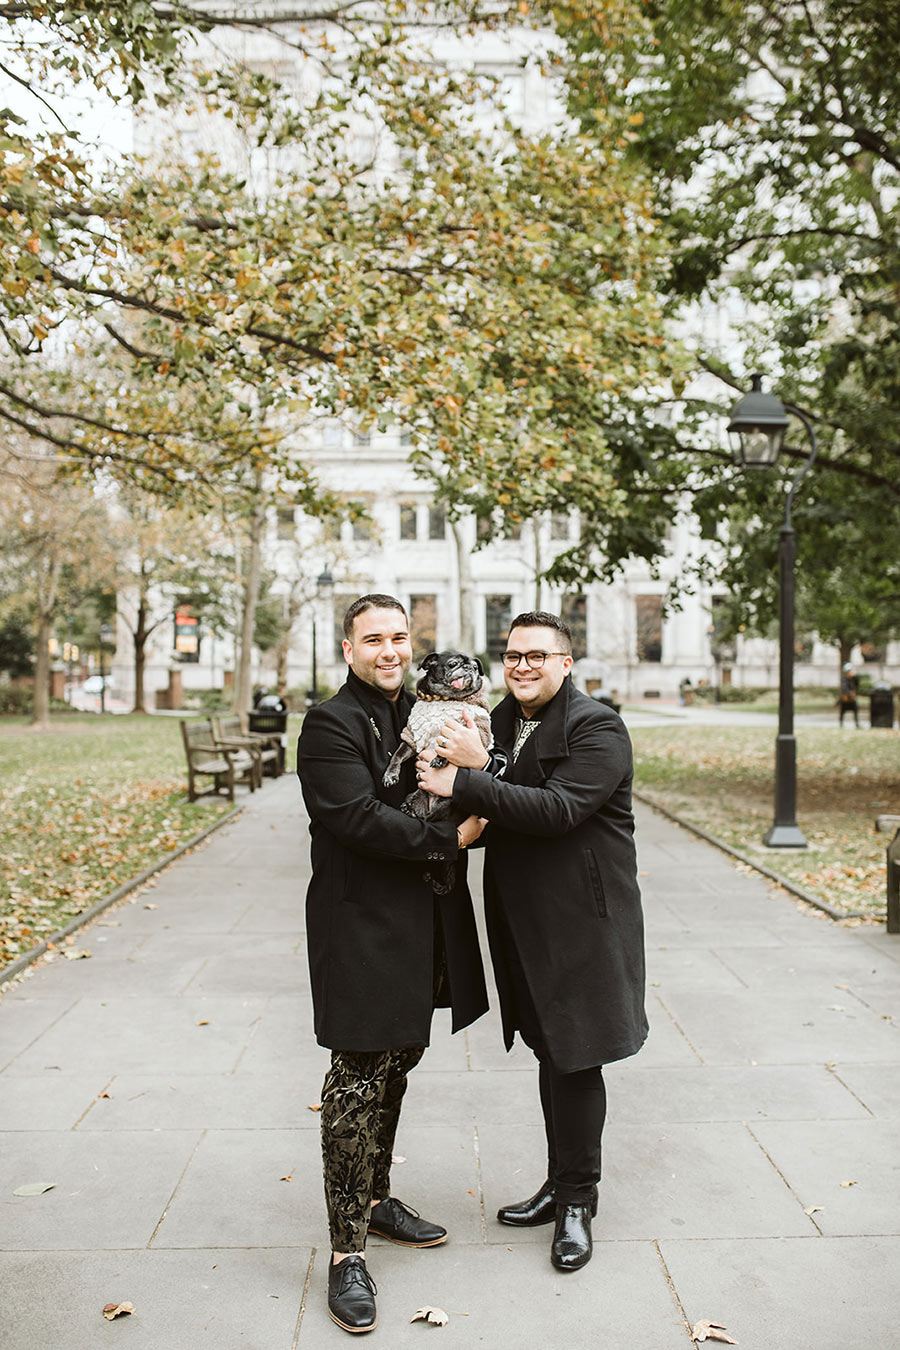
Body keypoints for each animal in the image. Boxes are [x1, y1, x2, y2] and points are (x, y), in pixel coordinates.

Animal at [383, 645, 493, 820]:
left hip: (449, 803)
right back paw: (408, 809)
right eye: (453, 664)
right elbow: (397, 755)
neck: (443, 698)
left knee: (432, 818)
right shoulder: (412, 738)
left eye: (476, 667)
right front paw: (390, 775)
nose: (469, 668)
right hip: (416, 795)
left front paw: (440, 759)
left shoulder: (474, 730)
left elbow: (447, 745)